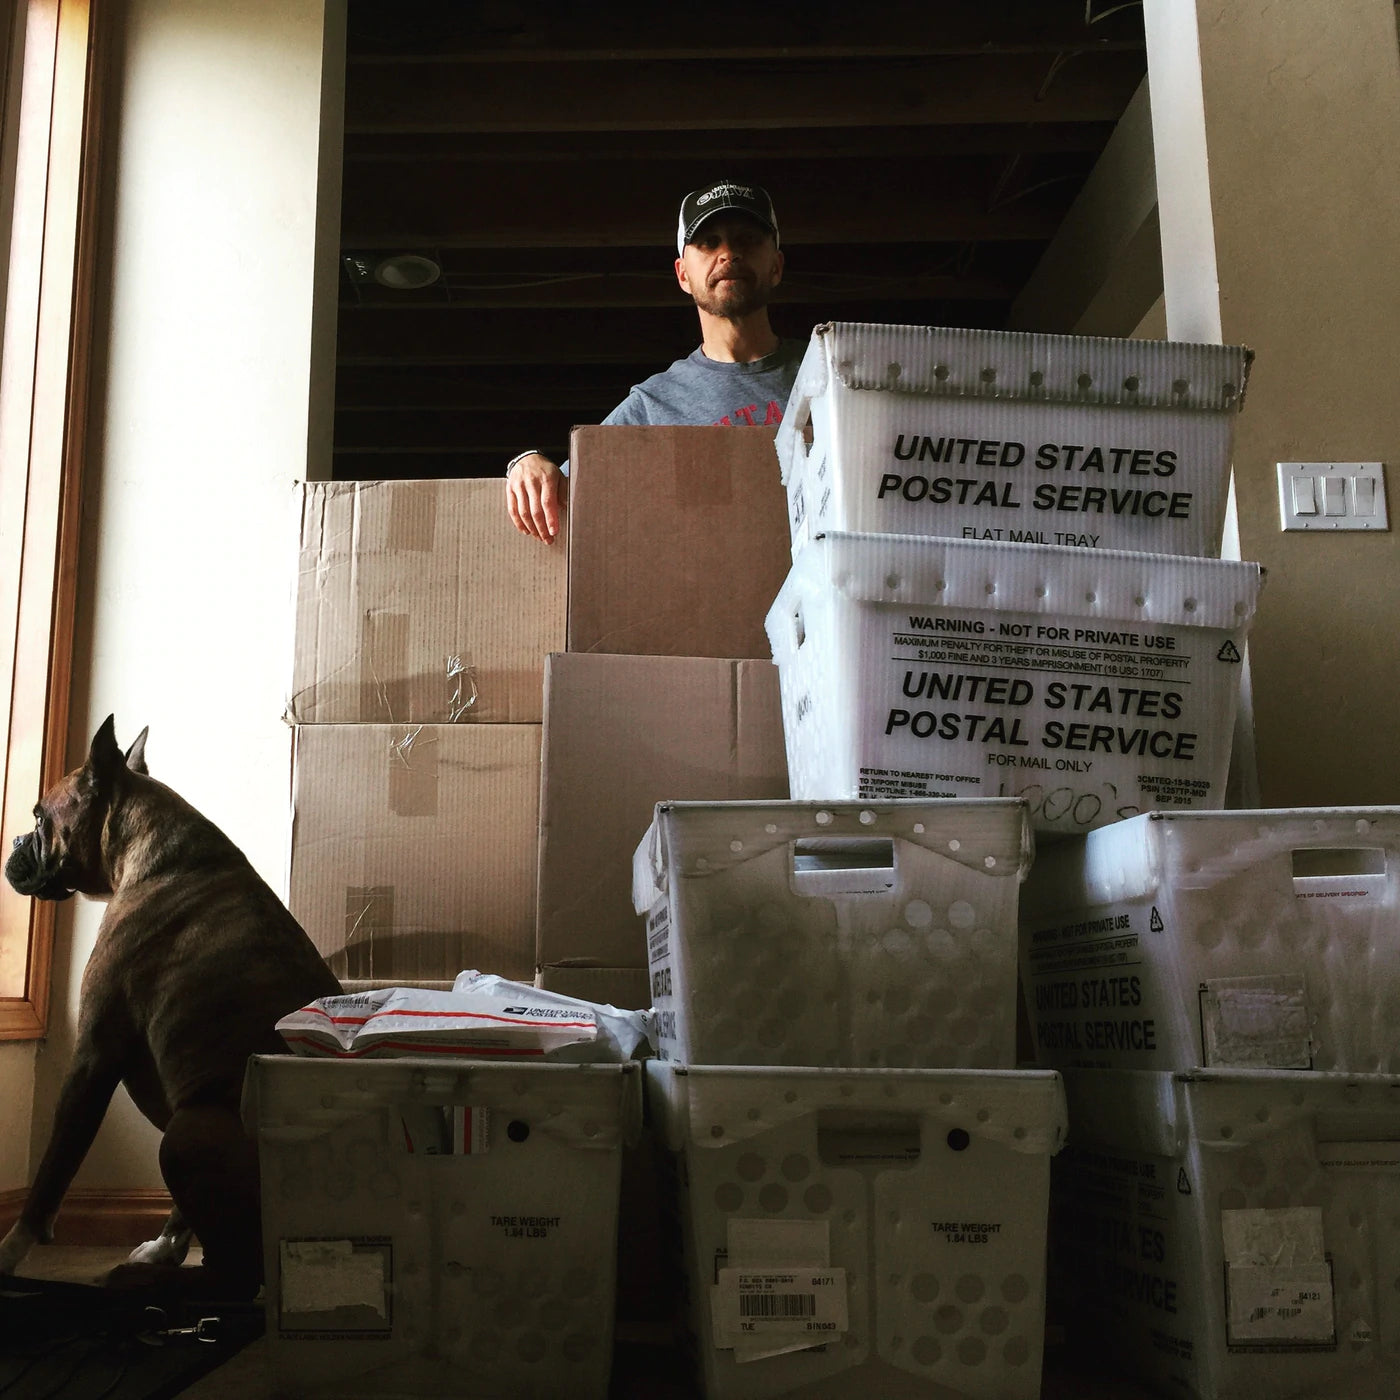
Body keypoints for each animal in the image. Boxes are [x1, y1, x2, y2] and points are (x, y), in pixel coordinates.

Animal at [2, 716, 341, 1293]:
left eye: (41, 819)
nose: (18, 841)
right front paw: (165, 1246)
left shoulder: (93, 1058)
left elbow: (53, 1170)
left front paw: (10, 1251)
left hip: (188, 1131)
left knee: (239, 1276)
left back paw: (139, 1282)